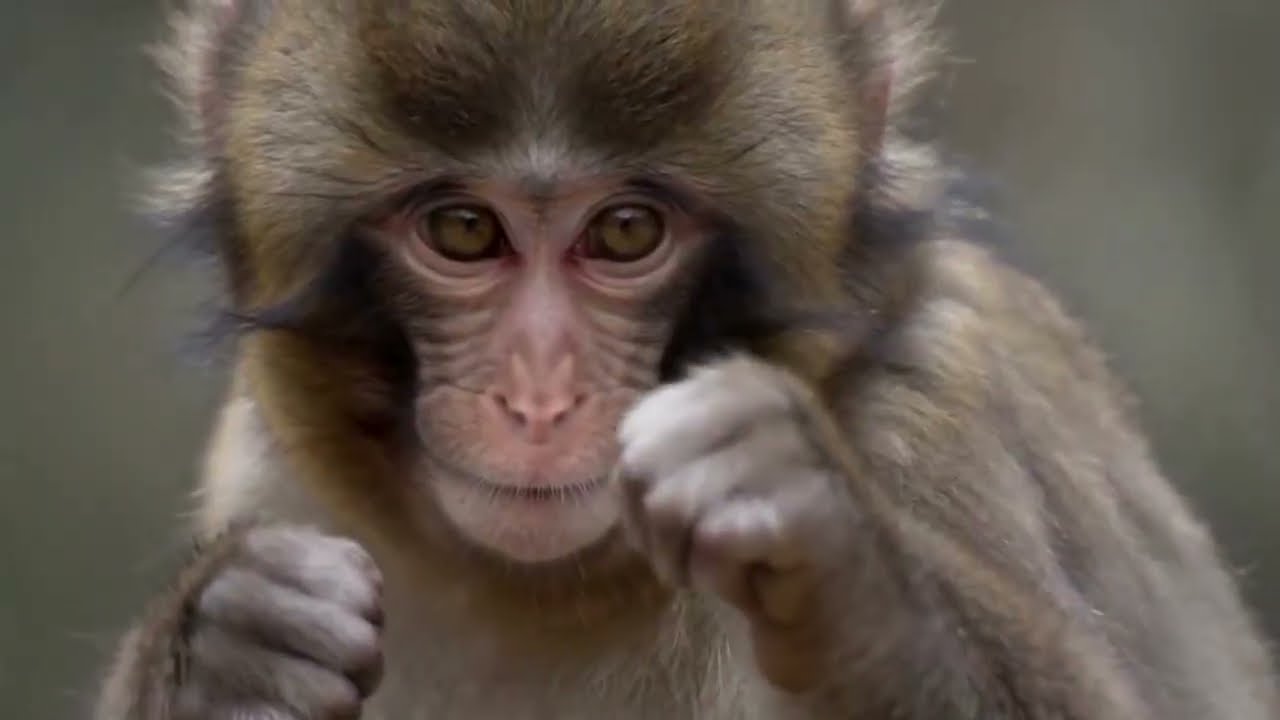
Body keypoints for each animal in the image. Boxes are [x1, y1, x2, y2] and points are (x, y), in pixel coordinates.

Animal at [93, 0, 1280, 718]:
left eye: (625, 232)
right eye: (464, 231)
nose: (538, 398)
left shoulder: (934, 413)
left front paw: (841, 556)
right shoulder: (266, 466)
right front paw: (225, 643)